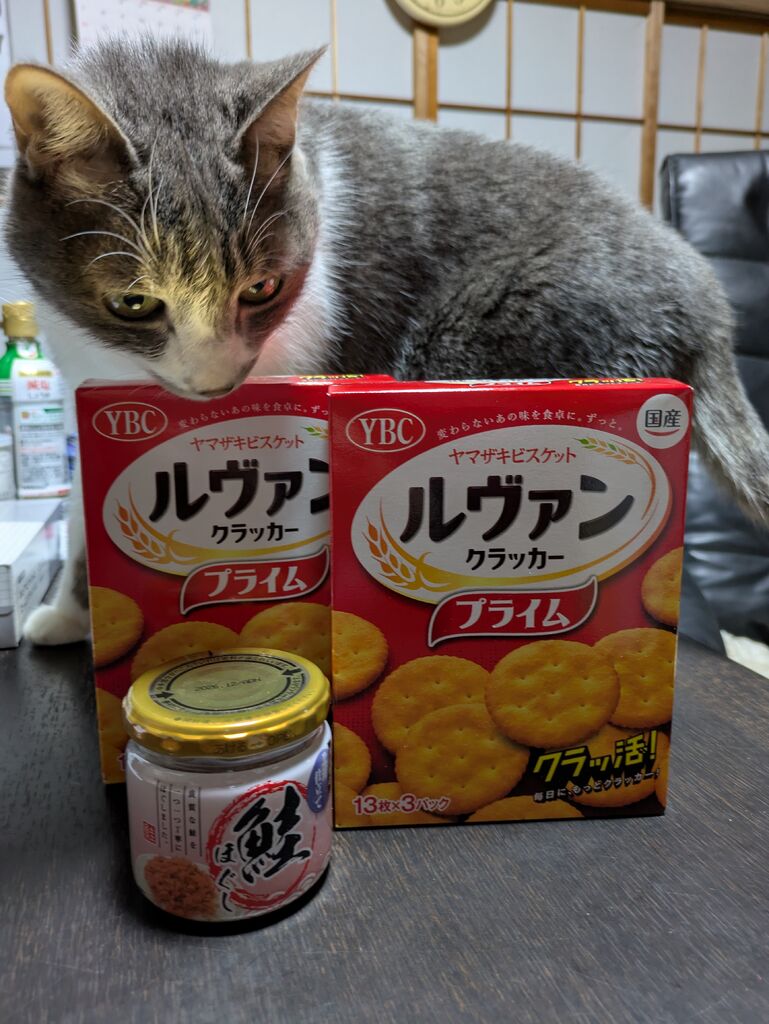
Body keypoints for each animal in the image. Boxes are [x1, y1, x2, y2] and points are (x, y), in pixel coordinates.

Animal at [4, 39, 767, 647]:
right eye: (133, 303)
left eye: (262, 289)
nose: (213, 383)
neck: (113, 360)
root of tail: (705, 296)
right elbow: (80, 511)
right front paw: (68, 616)